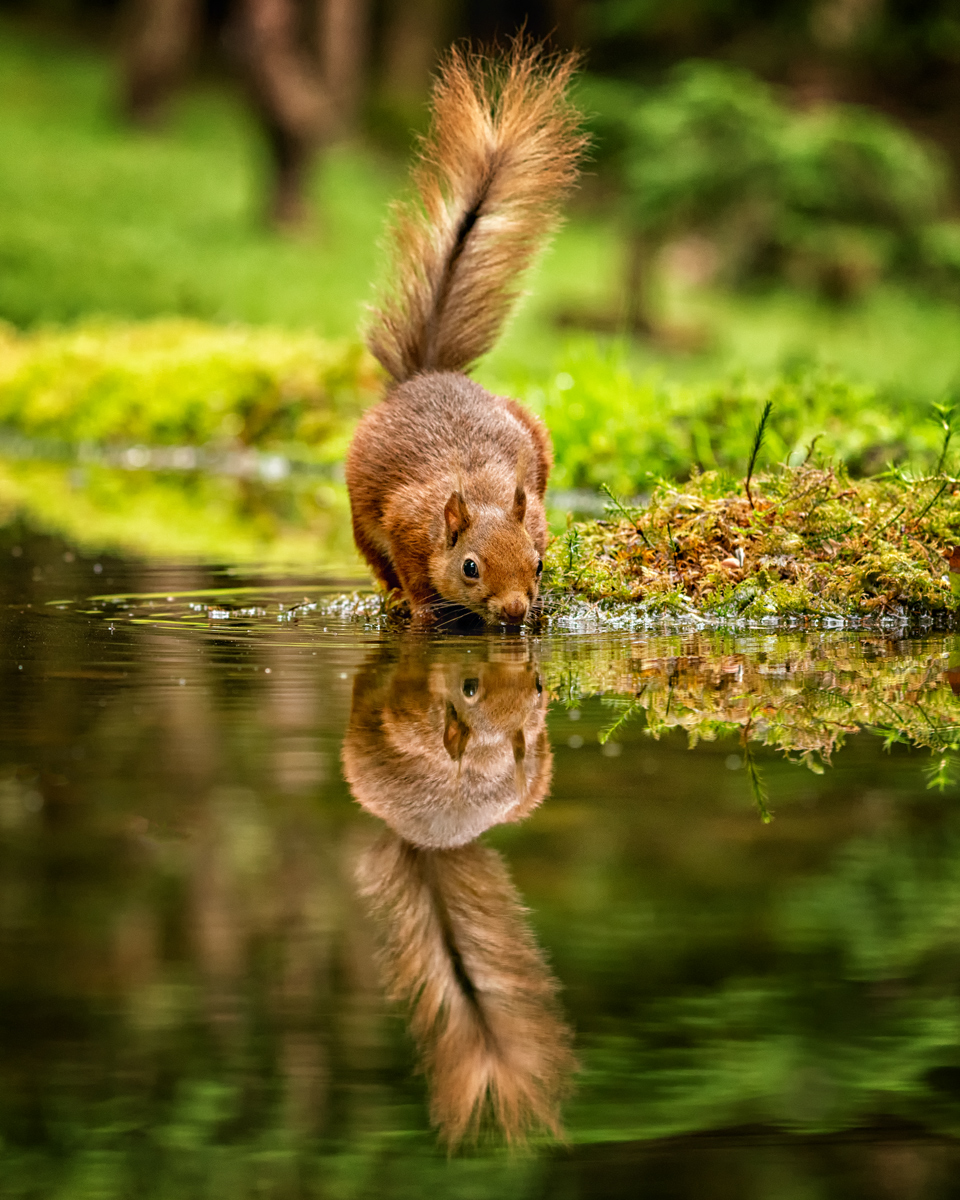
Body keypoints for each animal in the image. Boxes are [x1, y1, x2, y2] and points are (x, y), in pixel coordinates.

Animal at [348, 44, 585, 628]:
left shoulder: (536, 516)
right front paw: (423, 610)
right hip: (359, 511)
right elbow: (414, 577)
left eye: (540, 563)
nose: (515, 611)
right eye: (470, 567)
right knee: (376, 561)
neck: (478, 492)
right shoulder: (406, 524)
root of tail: (428, 373)